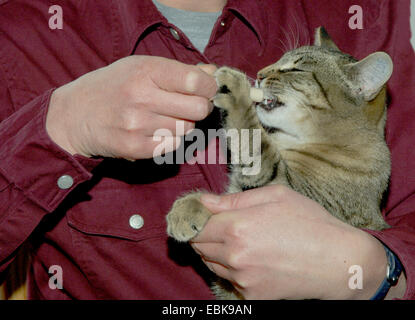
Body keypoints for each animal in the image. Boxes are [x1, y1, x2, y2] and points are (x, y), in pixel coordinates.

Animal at [165, 27, 394, 300]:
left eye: (296, 69)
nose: (259, 74)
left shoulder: (285, 190)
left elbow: (255, 142)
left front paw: (237, 91)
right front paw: (189, 206)